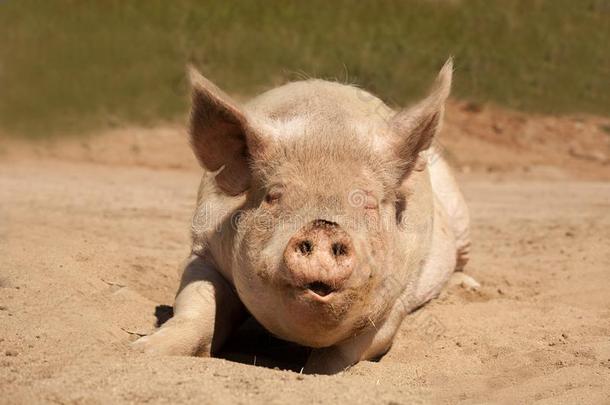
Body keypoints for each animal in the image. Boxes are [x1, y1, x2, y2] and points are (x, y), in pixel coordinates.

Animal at [133, 58, 468, 374]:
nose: (324, 226)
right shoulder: (203, 249)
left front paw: (316, 372)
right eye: (273, 196)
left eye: (370, 204)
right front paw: (141, 350)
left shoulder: (401, 293)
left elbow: (346, 353)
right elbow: (194, 309)